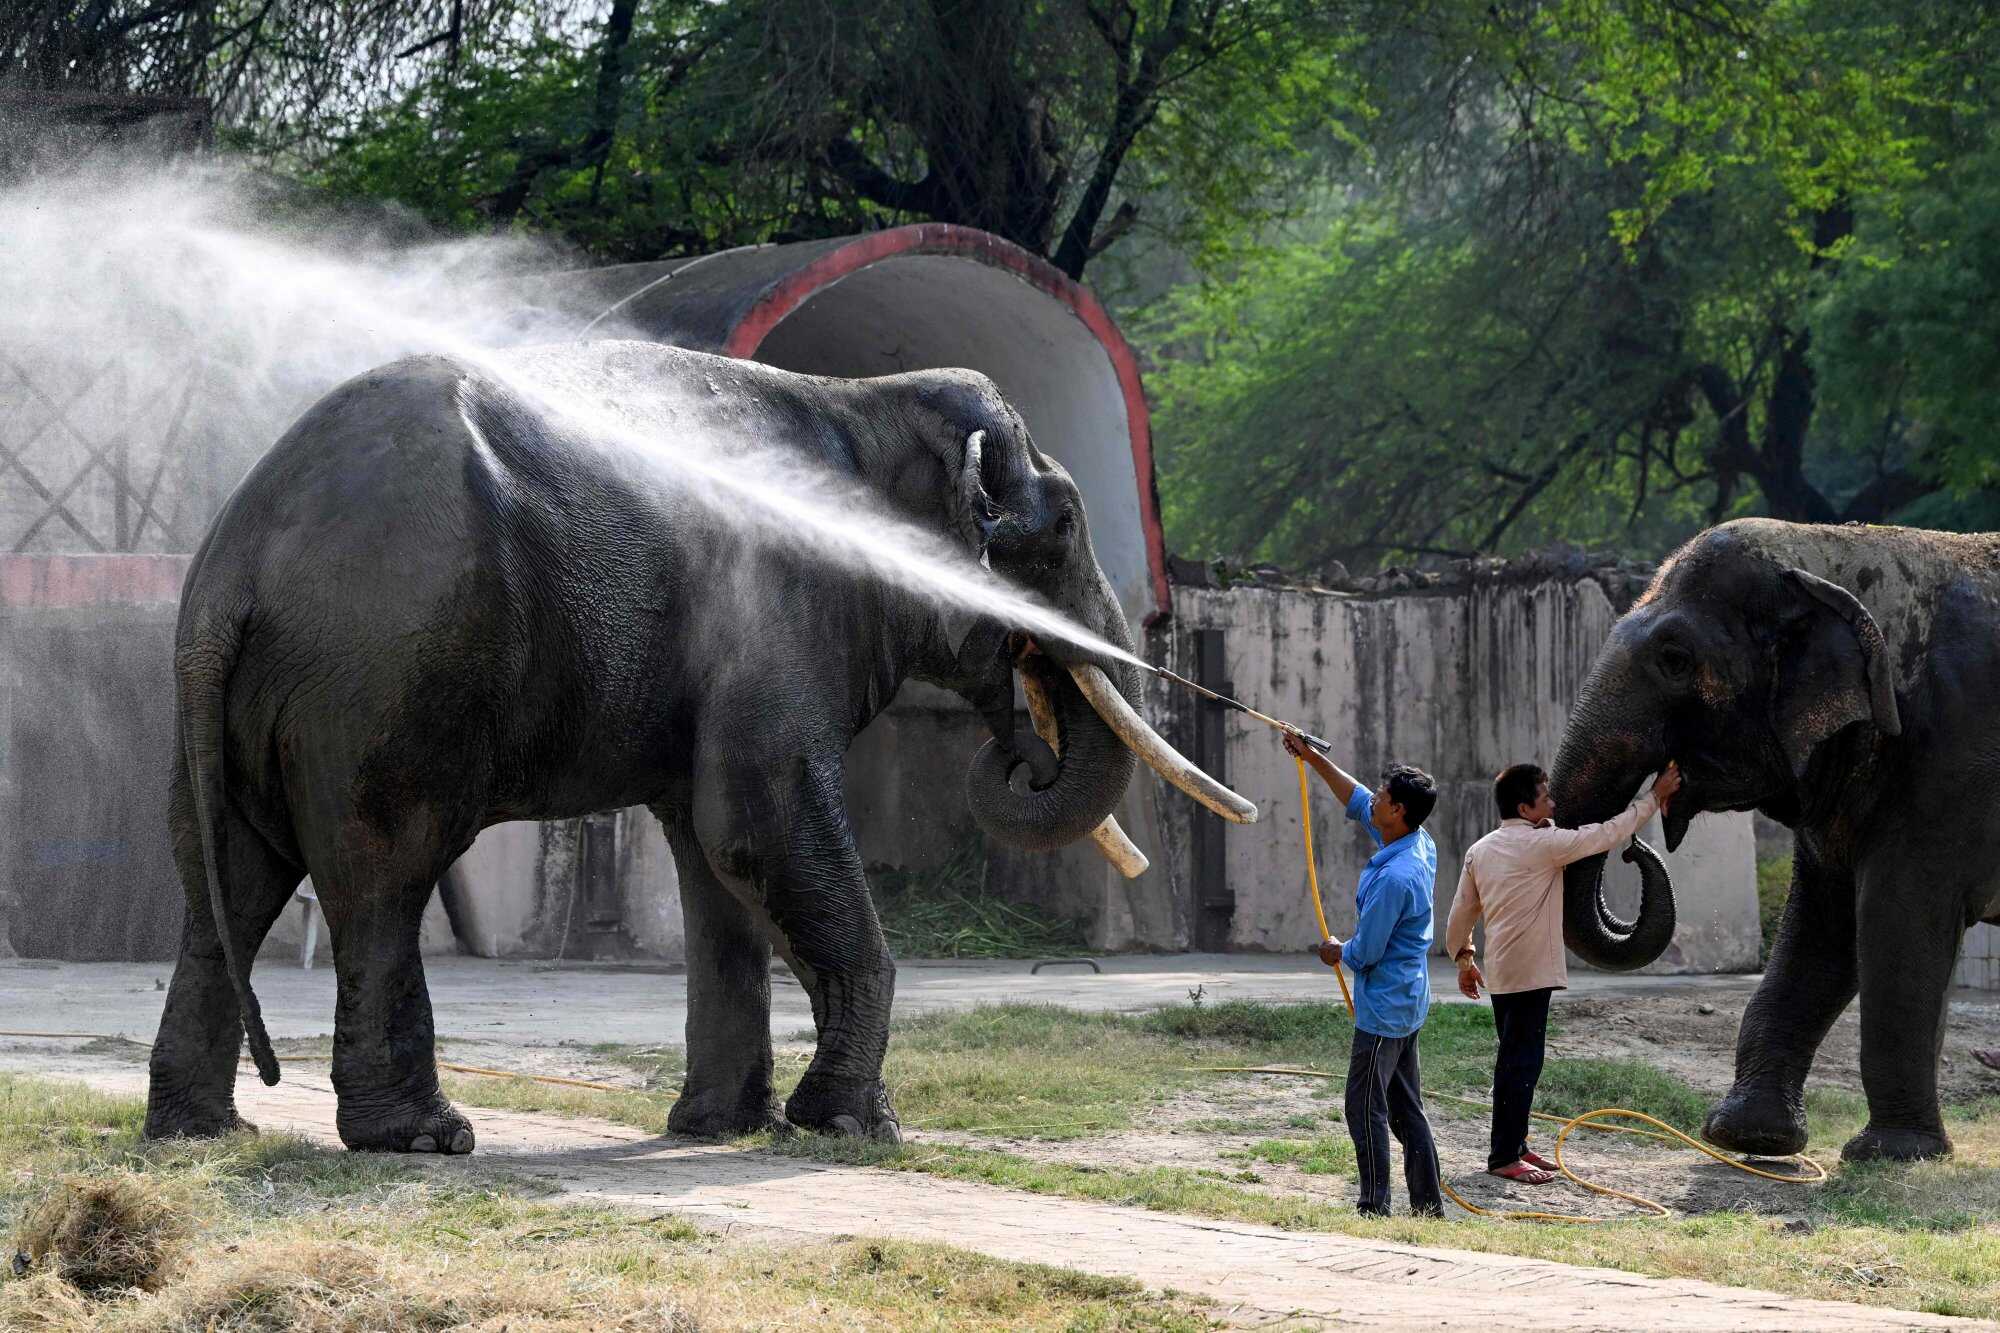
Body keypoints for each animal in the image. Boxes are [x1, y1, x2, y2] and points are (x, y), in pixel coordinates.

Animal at [142, 340, 1253, 1153]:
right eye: (1061, 526)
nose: (1019, 749)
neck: (865, 400)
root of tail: (237, 560)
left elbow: (713, 857)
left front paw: (722, 1128)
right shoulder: (777, 609)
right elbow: (757, 825)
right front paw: (854, 1130)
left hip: (251, 703)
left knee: (227, 879)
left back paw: (202, 1132)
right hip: (386, 675)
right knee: (384, 874)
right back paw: (424, 1138)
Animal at [1551, 517, 2000, 1162]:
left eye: (1675, 659)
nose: (1635, 846)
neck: (1832, 552)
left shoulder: (1952, 758)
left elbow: (1897, 916)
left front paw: (1890, 1153)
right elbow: (1825, 926)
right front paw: (1749, 1136)